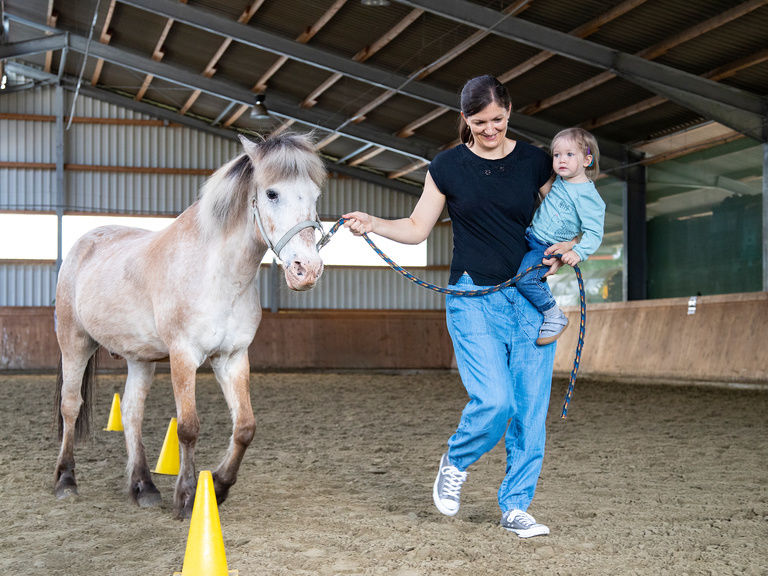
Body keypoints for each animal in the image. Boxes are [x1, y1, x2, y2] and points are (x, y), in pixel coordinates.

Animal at [53, 132, 327, 518]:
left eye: (315, 196)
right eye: (272, 193)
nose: (307, 269)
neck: (217, 274)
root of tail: (83, 244)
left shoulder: (232, 357)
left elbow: (245, 427)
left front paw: (220, 486)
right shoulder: (183, 355)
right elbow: (188, 428)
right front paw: (186, 497)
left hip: (139, 358)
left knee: (132, 412)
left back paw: (143, 487)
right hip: (74, 343)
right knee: (70, 405)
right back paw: (66, 481)